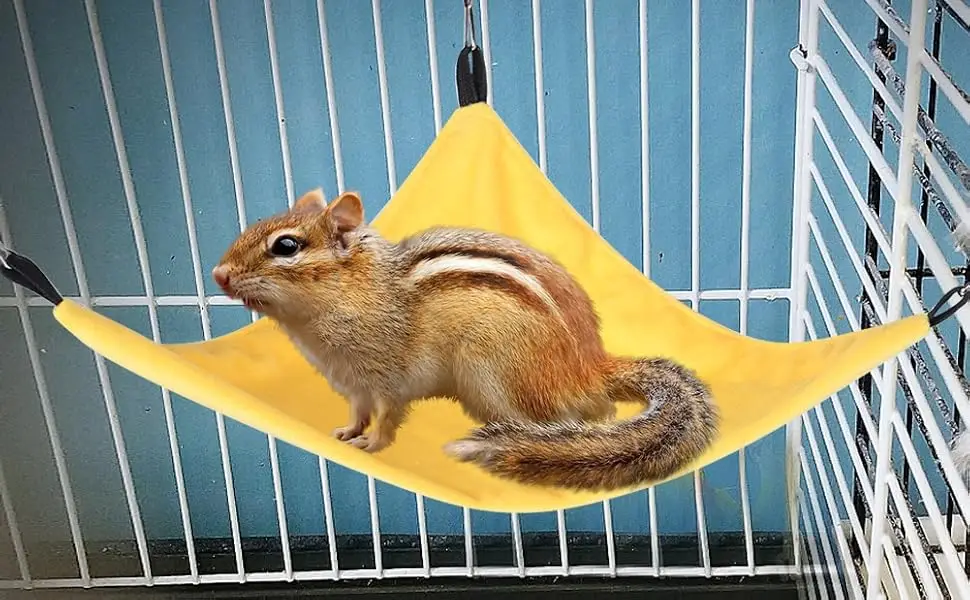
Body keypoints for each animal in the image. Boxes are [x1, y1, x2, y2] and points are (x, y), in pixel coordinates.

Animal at [211, 187, 719, 492]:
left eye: (286, 246)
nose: (219, 274)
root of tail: (590, 367)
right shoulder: (354, 385)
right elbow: (357, 412)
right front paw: (347, 433)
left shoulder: (388, 377)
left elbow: (387, 416)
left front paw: (372, 445)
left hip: (494, 376)